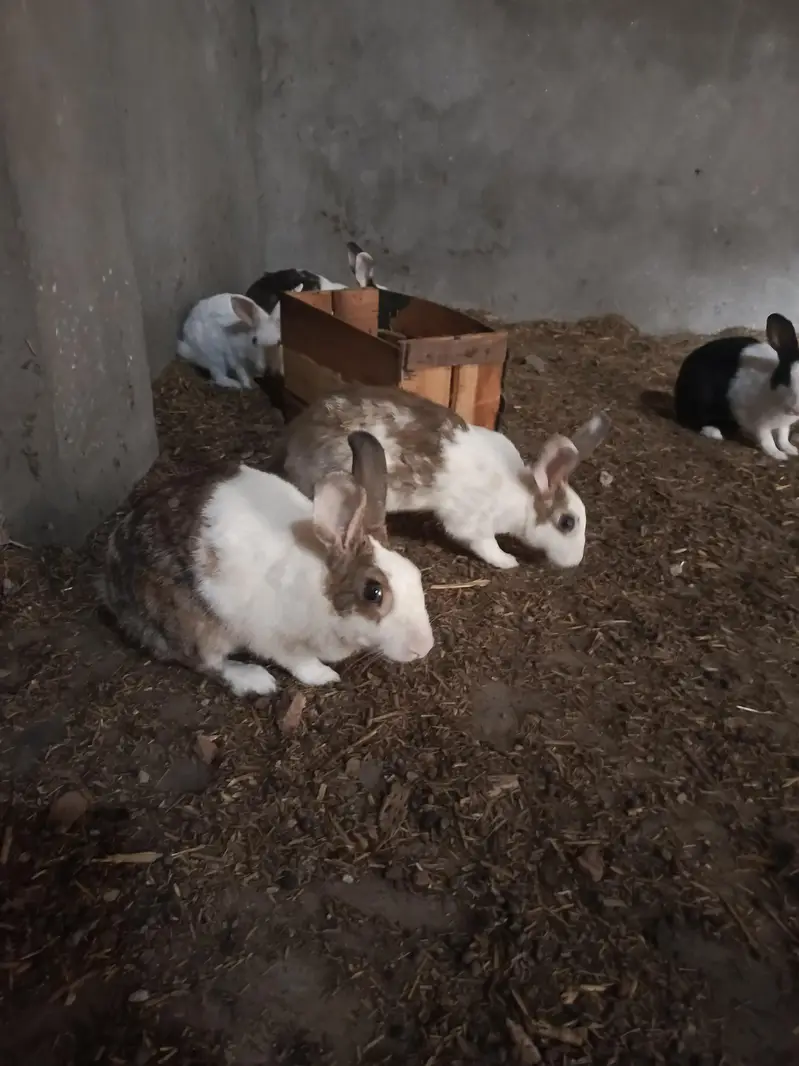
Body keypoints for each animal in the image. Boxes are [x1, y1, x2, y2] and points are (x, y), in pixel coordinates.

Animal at [98, 432, 434, 697]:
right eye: (373, 592)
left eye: (416, 575)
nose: (424, 647)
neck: (321, 585)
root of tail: (112, 591)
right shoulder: (273, 638)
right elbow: (299, 662)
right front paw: (325, 677)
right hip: (194, 623)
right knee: (204, 662)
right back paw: (255, 680)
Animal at [276, 385, 611, 570]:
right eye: (567, 523)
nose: (575, 562)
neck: (523, 496)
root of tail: (294, 440)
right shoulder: (473, 523)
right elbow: (484, 545)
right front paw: (508, 561)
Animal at [673, 312, 799, 460]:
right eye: (786, 378)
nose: (796, 408)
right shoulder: (757, 421)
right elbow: (766, 439)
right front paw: (778, 455)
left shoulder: (783, 425)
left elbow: (782, 437)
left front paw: (791, 450)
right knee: (693, 421)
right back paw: (714, 432)